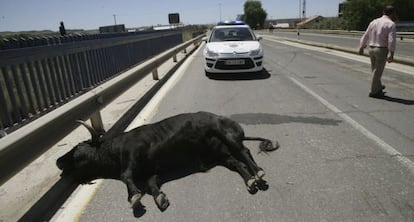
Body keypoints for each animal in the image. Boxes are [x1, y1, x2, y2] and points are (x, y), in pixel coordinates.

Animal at [56, 112, 278, 211]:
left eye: (77, 149)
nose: (59, 162)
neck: (115, 149)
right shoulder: (153, 171)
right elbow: (151, 184)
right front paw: (159, 197)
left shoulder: (132, 154)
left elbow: (125, 175)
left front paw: (134, 196)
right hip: (221, 155)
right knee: (237, 163)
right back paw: (250, 180)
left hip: (225, 134)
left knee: (244, 151)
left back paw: (258, 172)